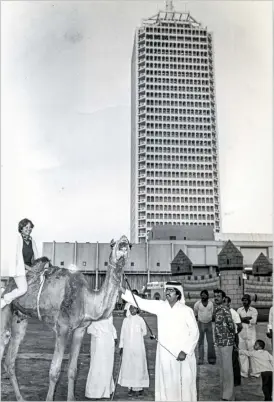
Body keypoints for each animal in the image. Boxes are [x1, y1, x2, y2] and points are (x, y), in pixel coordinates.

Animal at [0, 234, 131, 400]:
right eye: (112, 244)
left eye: (130, 245)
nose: (124, 241)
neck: (86, 299)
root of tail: (7, 286)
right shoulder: (62, 327)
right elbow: (54, 371)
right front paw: (49, 398)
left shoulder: (80, 329)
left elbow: (72, 370)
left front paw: (71, 397)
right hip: (6, 307)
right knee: (4, 337)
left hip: (20, 318)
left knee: (11, 358)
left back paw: (20, 398)